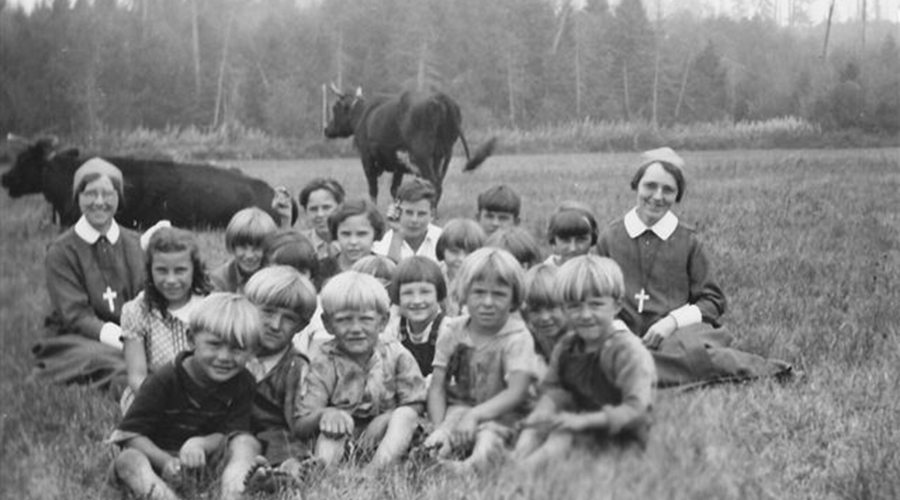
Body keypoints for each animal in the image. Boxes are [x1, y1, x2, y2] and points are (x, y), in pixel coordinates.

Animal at [324, 87, 496, 204]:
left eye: (335, 108)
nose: (326, 129)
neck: (364, 114)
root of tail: (440, 96)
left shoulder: (366, 158)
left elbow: (373, 189)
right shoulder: (398, 165)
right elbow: (395, 189)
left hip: (423, 155)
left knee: (433, 184)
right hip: (445, 154)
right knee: (439, 184)